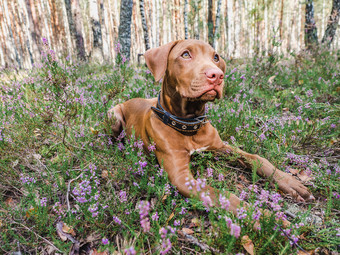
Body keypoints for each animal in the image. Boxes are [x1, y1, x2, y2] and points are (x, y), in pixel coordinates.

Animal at [108, 38, 314, 215]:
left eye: (215, 57)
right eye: (185, 54)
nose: (217, 75)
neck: (189, 124)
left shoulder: (221, 147)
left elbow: (257, 158)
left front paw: (289, 182)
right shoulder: (181, 177)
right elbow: (224, 195)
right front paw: (258, 216)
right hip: (113, 116)